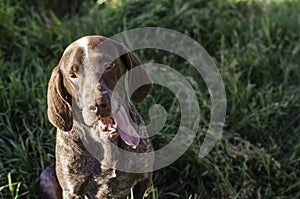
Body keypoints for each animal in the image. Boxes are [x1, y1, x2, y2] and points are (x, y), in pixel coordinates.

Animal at [39, 36, 154, 199]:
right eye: (73, 75)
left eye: (109, 65)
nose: (98, 104)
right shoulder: (72, 191)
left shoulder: (144, 181)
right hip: (46, 176)